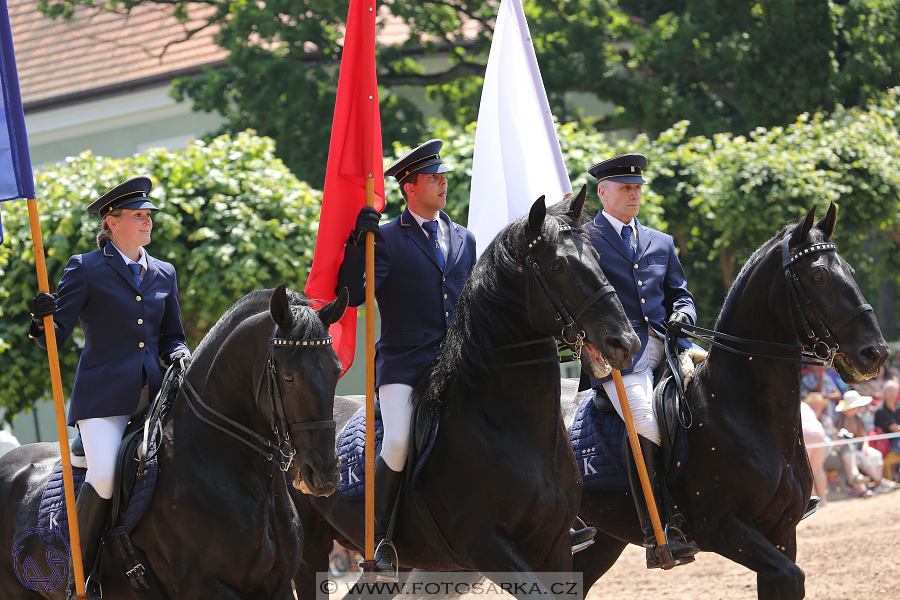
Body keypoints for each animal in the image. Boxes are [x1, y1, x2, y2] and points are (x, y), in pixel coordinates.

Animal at [292, 189, 636, 600]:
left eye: (598, 259)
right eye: (556, 266)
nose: (624, 342)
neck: (512, 428)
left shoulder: (555, 547)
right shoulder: (485, 546)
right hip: (310, 546)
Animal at [568, 205, 884, 600]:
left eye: (852, 272)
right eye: (818, 275)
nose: (876, 353)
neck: (745, 412)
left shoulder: (782, 531)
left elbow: (787, 580)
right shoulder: (721, 527)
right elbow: (791, 576)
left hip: (601, 541)